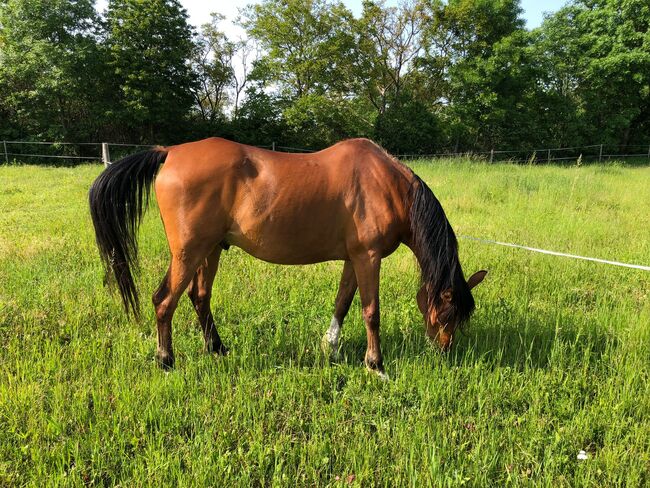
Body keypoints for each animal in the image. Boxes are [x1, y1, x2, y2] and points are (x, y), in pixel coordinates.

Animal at [90, 137, 486, 378]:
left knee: (199, 297)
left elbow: (343, 302)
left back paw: (217, 349)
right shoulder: (369, 257)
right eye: (446, 313)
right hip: (188, 253)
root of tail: (170, 151)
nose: (445, 351)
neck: (388, 186)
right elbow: (370, 312)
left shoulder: (353, 258)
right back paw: (166, 361)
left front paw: (331, 347)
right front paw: (376, 365)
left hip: (210, 250)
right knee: (164, 301)